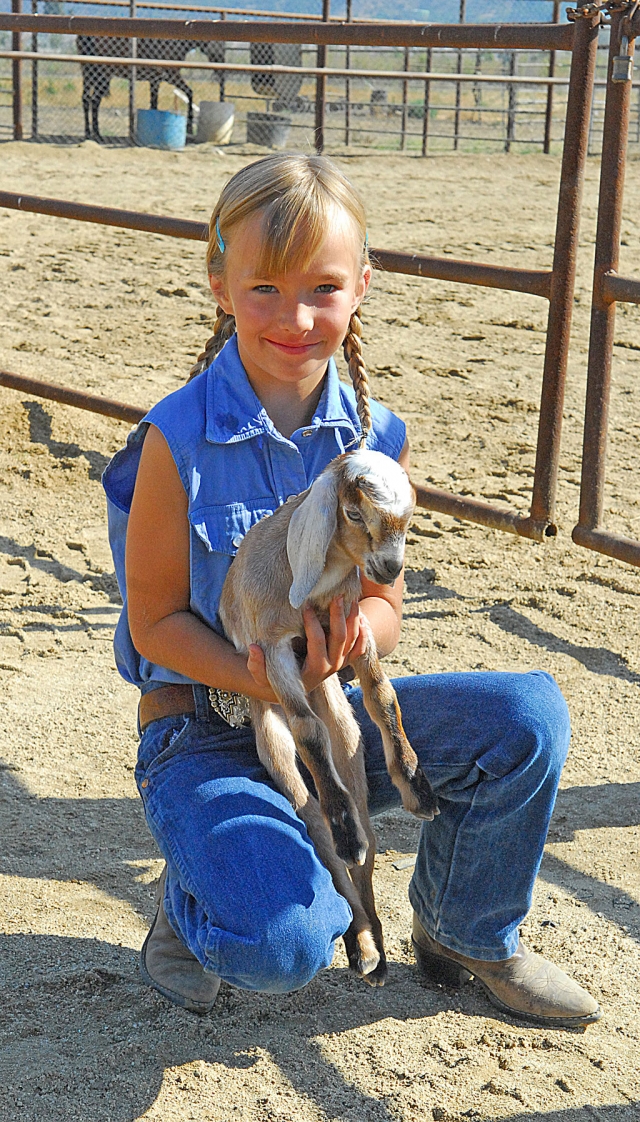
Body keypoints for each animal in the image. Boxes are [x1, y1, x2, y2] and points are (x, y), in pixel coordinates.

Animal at [220, 451, 437, 987]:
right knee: (317, 826)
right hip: (271, 739)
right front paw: (343, 824)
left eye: (409, 520)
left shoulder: (353, 627)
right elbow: (307, 731)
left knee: (368, 838)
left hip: (347, 731)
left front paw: (418, 785)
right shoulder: (272, 651)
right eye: (355, 514)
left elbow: (383, 698)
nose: (390, 567)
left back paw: (373, 946)